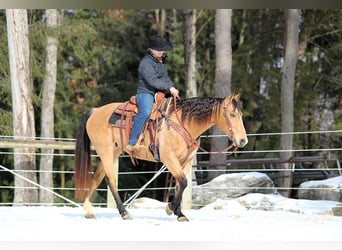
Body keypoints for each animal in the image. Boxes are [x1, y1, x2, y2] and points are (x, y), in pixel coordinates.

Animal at [73, 93, 247, 221]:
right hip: (106, 152)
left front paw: (180, 214)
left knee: (97, 177)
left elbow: (180, 185)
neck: (183, 123)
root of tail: (95, 111)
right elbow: (183, 182)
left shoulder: (186, 161)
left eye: (240, 115)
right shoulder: (168, 158)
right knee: (111, 180)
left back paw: (89, 211)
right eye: (232, 115)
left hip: (112, 152)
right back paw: (124, 212)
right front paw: (170, 209)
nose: (243, 140)